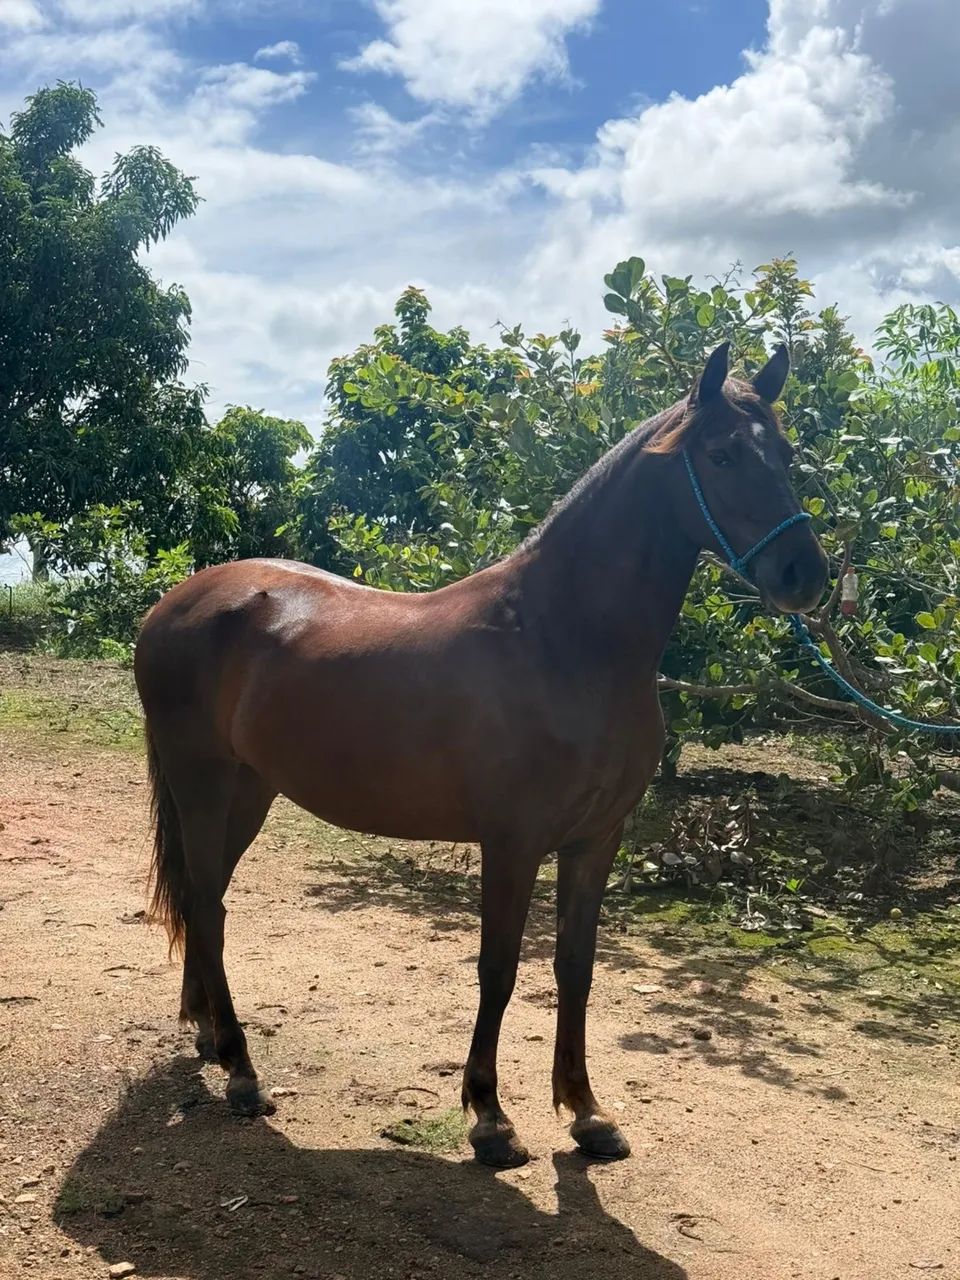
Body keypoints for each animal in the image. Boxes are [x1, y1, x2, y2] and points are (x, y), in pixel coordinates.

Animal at [134, 341, 827, 1169]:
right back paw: (242, 1072)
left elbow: (575, 967)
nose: (806, 575)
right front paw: (490, 1118)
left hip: (249, 791)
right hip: (202, 784)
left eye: (786, 452)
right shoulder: (513, 842)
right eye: (722, 454)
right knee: (204, 903)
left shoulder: (596, 840)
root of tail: (172, 604)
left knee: (206, 902)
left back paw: (212, 1036)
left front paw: (587, 1113)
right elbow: (498, 969)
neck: (563, 640)